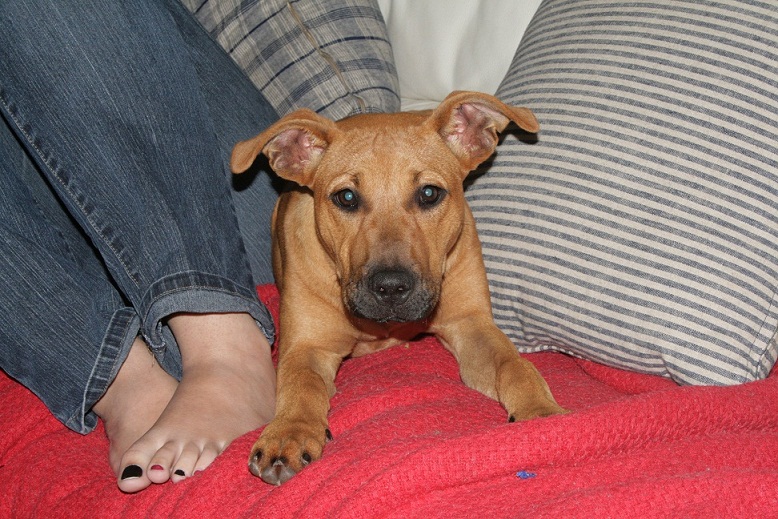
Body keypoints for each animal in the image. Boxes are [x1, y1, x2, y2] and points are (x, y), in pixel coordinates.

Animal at [231, 91, 566, 486]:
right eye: (346, 198)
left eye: (429, 193)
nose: (390, 287)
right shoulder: (305, 347)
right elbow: (300, 385)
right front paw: (289, 433)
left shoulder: (471, 325)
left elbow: (515, 365)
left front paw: (541, 412)